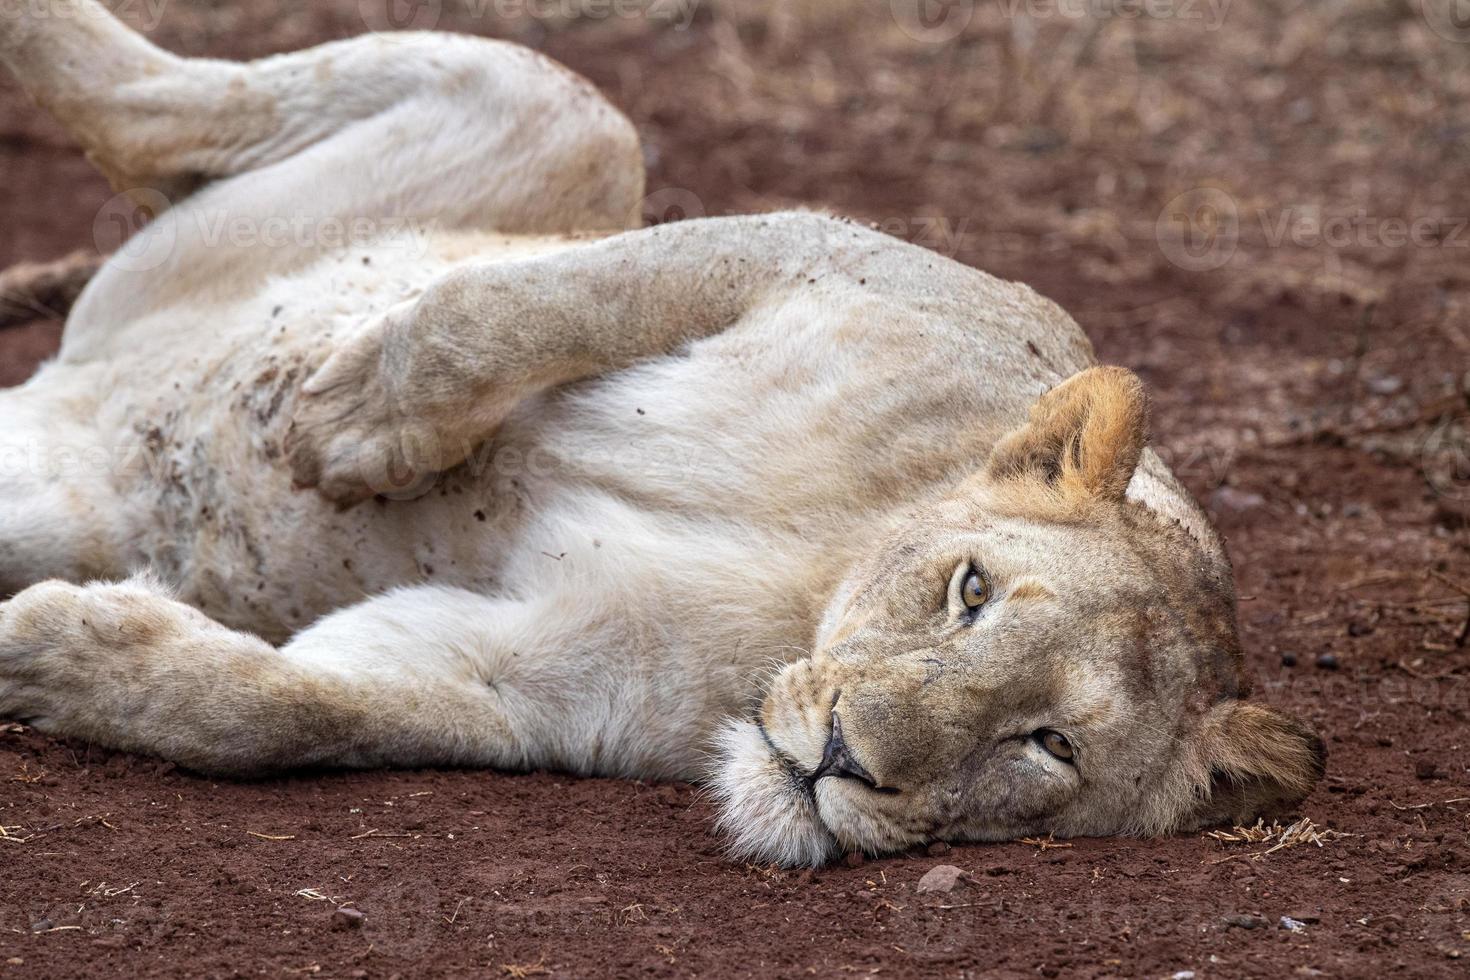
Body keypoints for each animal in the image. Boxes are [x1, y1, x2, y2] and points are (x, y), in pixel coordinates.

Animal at [0, 0, 1328, 863]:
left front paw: (63, 651)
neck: (813, 582)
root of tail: (75, 409)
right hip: (570, 122)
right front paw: (352, 424)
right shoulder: (813, 253)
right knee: (148, 98)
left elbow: (284, 708)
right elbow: (528, 306)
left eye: (1047, 743)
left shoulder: (523, 679)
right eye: (971, 588)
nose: (841, 755)